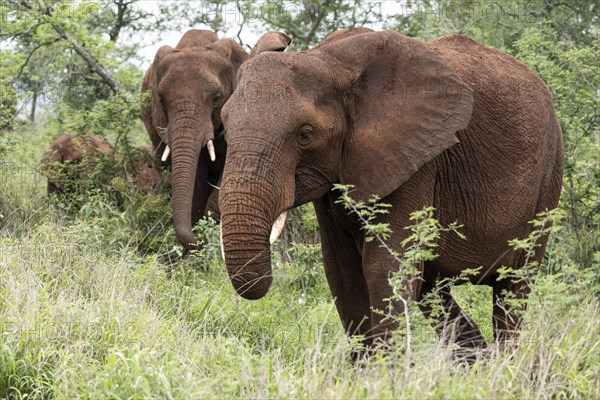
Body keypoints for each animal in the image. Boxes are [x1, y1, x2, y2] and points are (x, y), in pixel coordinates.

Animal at [219, 29, 564, 352]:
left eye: (305, 135)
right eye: (224, 128)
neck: (327, 58)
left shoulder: (418, 159)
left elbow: (384, 267)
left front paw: (387, 370)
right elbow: (342, 271)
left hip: (549, 175)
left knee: (514, 286)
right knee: (431, 288)